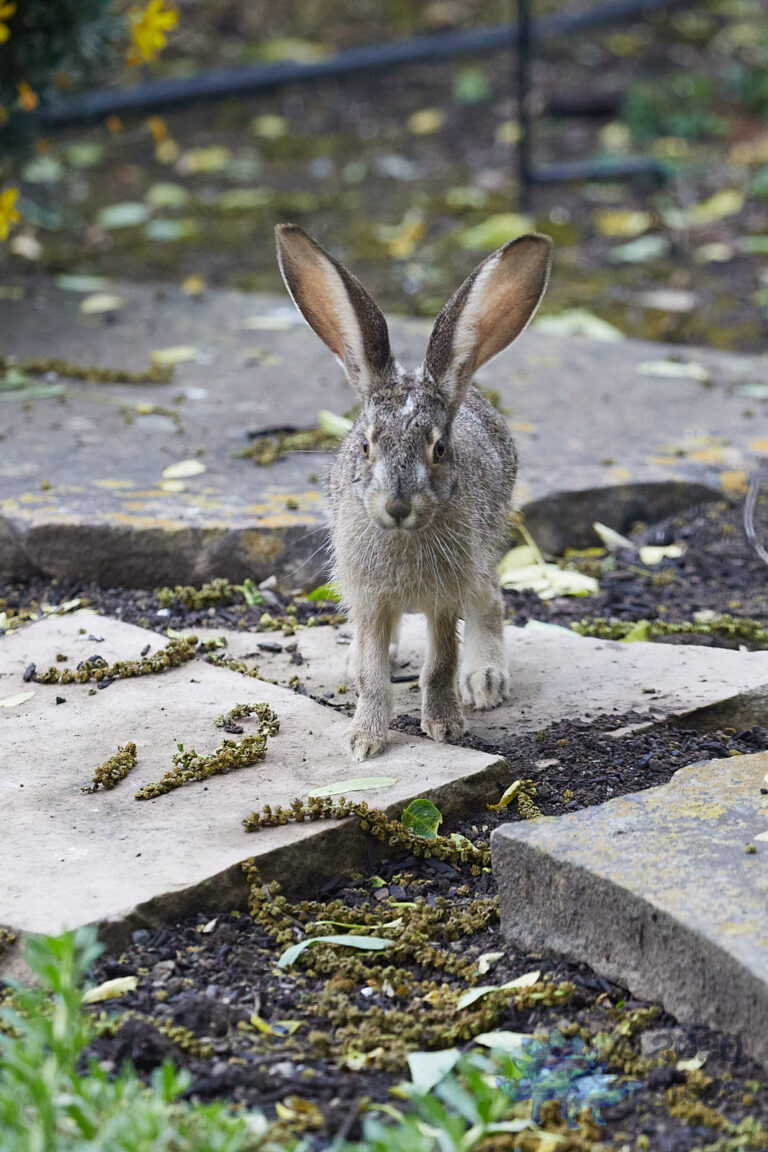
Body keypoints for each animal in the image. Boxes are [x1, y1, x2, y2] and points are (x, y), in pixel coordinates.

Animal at [275, 224, 552, 761]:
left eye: (440, 449)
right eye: (365, 445)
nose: (398, 507)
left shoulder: (446, 597)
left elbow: (440, 663)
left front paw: (445, 727)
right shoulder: (368, 598)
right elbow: (371, 673)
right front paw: (363, 741)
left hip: (484, 554)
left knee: (491, 602)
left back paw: (485, 680)